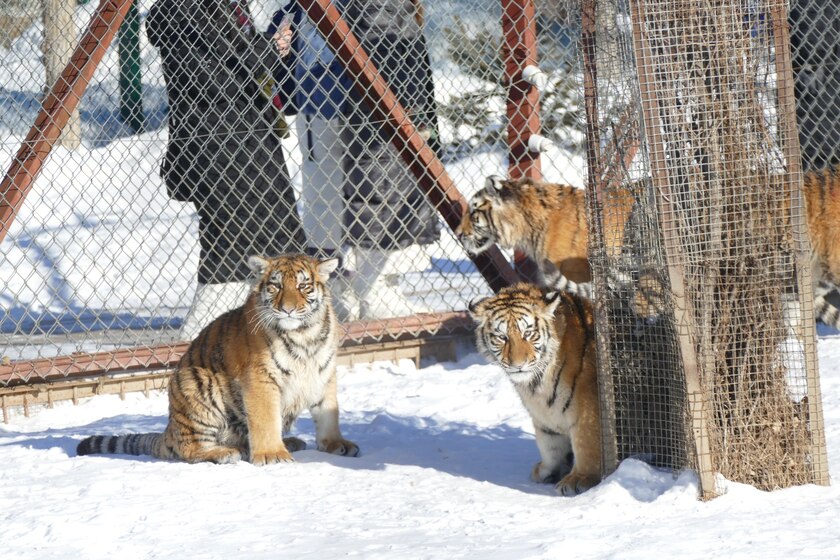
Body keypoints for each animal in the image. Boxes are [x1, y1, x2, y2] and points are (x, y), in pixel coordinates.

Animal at [74, 254, 358, 464]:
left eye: (303, 286)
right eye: (276, 286)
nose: (287, 309)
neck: (304, 335)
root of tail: (170, 430)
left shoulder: (323, 373)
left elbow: (328, 413)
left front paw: (336, 444)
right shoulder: (260, 379)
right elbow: (265, 420)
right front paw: (272, 455)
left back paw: (287, 442)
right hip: (196, 381)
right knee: (190, 449)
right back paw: (226, 453)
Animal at [470, 282, 600, 496]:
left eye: (528, 333)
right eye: (502, 337)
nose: (518, 365)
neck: (537, 383)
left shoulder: (587, 409)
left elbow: (586, 444)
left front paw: (580, 479)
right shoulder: (543, 416)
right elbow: (549, 445)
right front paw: (547, 470)